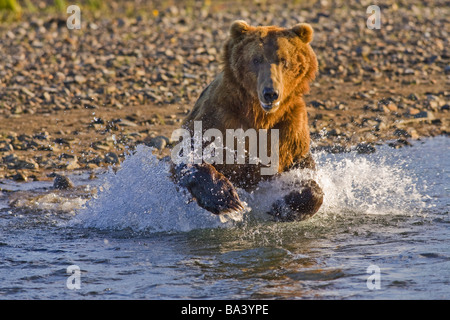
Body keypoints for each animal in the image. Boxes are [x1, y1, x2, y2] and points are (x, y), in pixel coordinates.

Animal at [172, 19, 324, 220]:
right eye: (256, 59)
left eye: (283, 60)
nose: (270, 93)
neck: (259, 115)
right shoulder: (220, 116)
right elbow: (189, 154)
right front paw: (226, 198)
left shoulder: (289, 128)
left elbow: (305, 172)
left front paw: (282, 205)